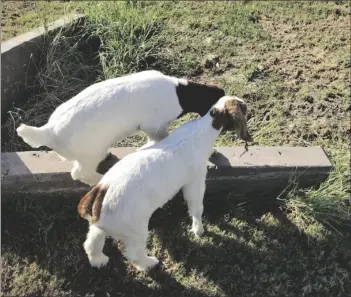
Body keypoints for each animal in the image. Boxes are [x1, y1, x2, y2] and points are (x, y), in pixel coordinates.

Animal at [16, 70, 226, 185]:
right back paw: (100, 179)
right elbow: (160, 138)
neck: (180, 92)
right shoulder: (153, 125)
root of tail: (48, 131)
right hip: (89, 155)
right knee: (80, 174)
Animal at [77, 95, 253, 270]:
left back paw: (99, 260)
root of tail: (101, 192)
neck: (202, 131)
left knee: (91, 242)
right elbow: (196, 207)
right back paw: (149, 263)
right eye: (243, 108)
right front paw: (199, 230)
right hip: (134, 229)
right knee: (134, 253)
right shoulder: (195, 180)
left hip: (100, 225)